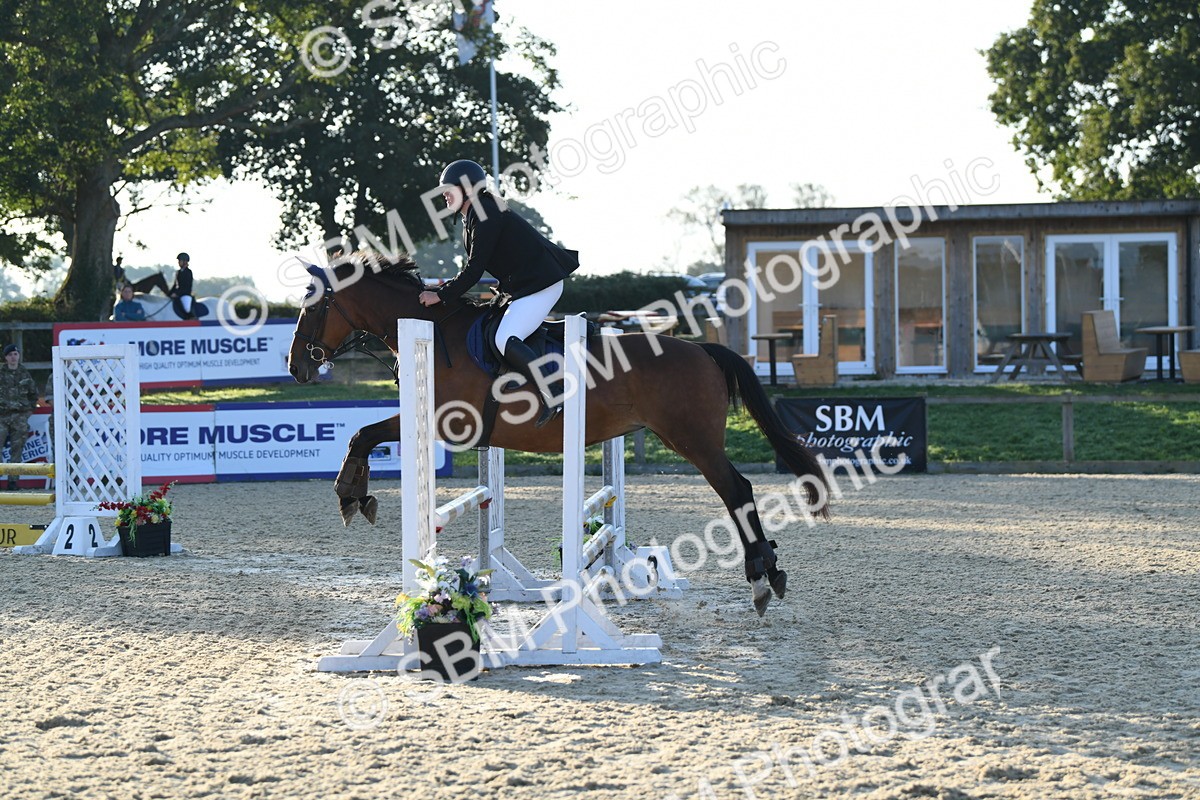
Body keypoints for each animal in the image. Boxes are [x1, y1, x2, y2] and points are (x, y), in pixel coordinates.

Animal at [286, 255, 830, 616]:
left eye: (312, 306)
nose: (296, 368)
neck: (432, 331)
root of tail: (701, 350)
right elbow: (362, 434)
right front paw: (354, 495)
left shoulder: (445, 419)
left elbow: (362, 434)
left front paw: (350, 495)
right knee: (738, 491)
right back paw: (767, 572)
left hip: (693, 441)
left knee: (737, 490)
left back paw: (762, 577)